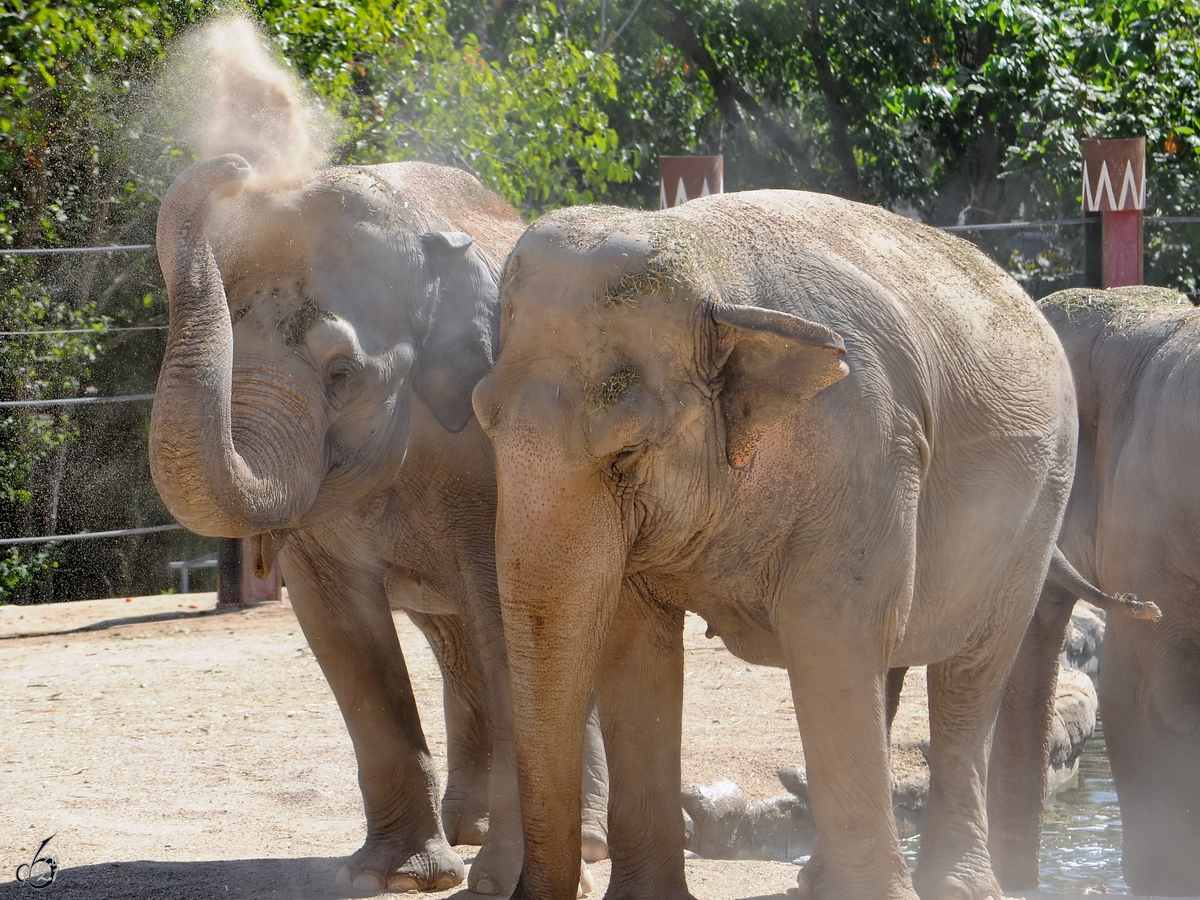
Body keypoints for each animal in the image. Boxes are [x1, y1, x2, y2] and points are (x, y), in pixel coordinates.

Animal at [147, 154, 609, 897]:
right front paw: (394, 878)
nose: (236, 167)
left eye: (342, 373)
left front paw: (498, 881)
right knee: (458, 644)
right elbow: (342, 632)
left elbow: (517, 620)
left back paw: (583, 843)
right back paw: (466, 831)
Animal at [472, 190, 1084, 900]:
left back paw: (957, 887)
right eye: (484, 422)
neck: (715, 274)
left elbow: (829, 635)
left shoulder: (869, 453)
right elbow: (636, 648)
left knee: (967, 672)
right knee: (889, 661)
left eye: (626, 453)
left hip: (1040, 509)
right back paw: (819, 878)